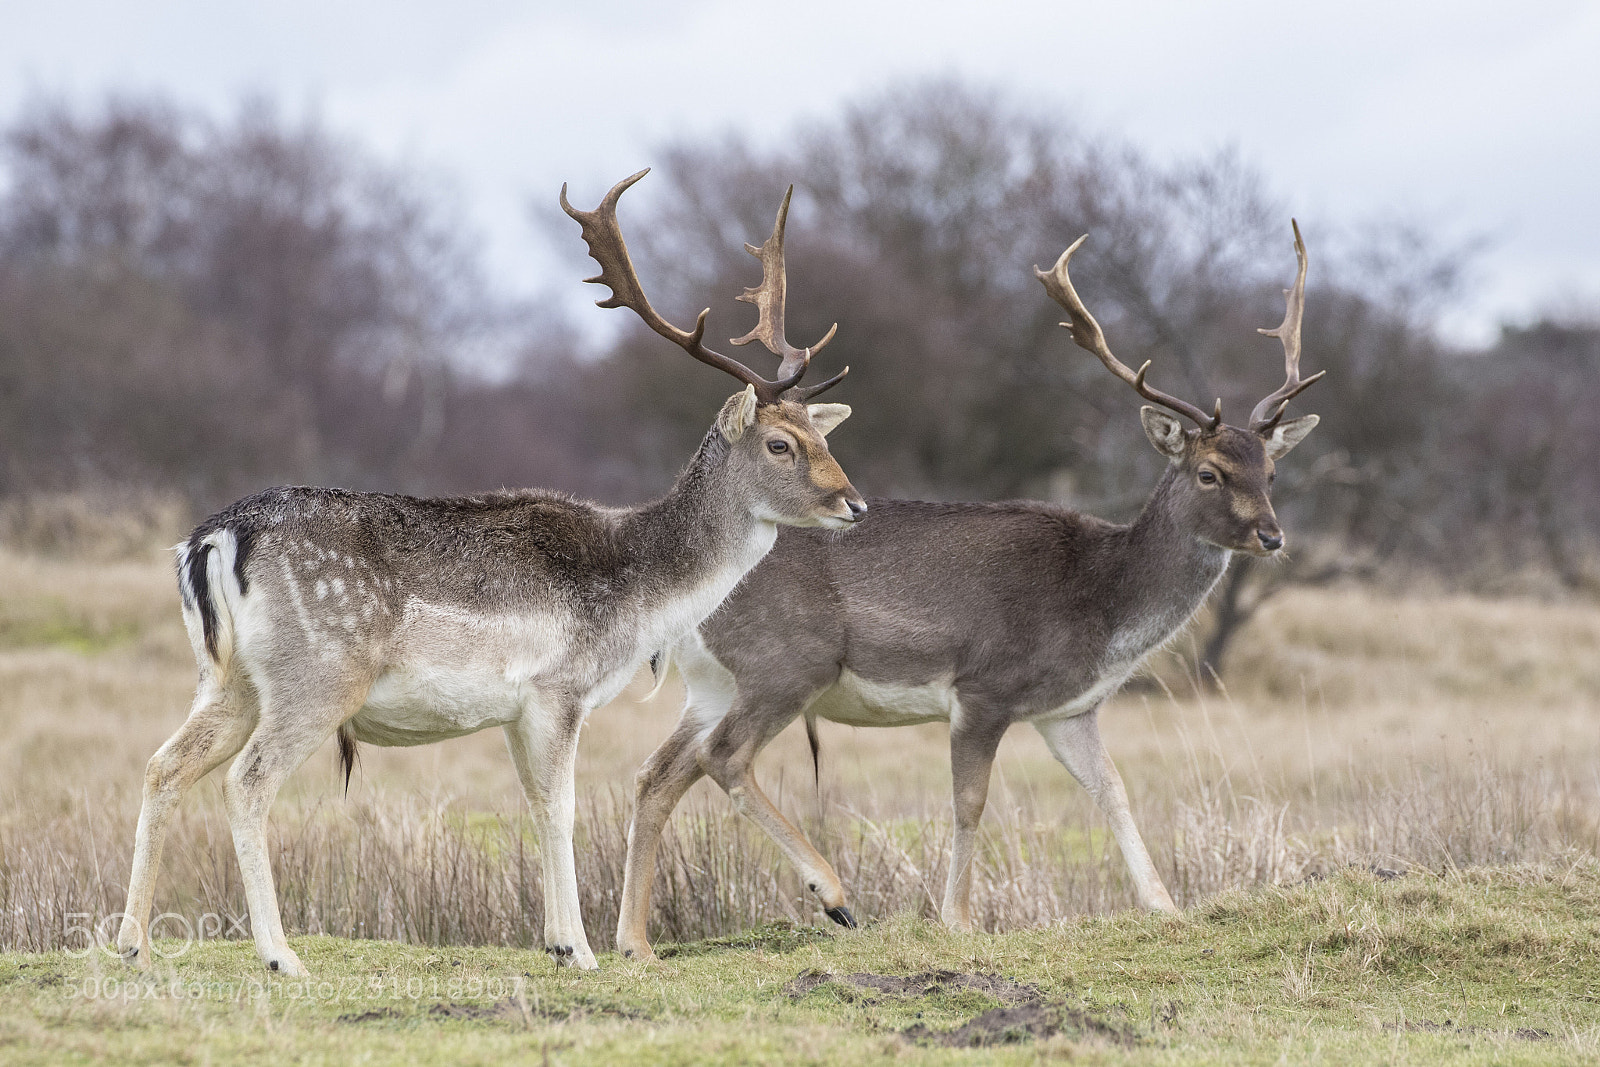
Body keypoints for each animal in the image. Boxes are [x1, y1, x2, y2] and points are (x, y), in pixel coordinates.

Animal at [116, 169, 865, 975]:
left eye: (824, 434)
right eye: (781, 444)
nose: (854, 503)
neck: (639, 597)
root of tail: (214, 538)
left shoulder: (515, 710)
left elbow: (534, 804)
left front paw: (560, 941)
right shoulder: (559, 689)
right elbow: (562, 807)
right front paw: (583, 949)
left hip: (227, 680)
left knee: (162, 764)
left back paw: (133, 943)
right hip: (315, 676)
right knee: (246, 781)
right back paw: (281, 955)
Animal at [615, 222, 1324, 960]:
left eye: (1272, 471)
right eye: (1211, 472)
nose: (1272, 536)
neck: (1099, 607)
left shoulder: (1070, 710)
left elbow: (1113, 789)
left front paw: (1165, 905)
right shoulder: (985, 686)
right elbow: (970, 801)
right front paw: (956, 917)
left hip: (714, 681)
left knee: (657, 772)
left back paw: (634, 941)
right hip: (788, 660)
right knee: (722, 756)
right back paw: (833, 895)